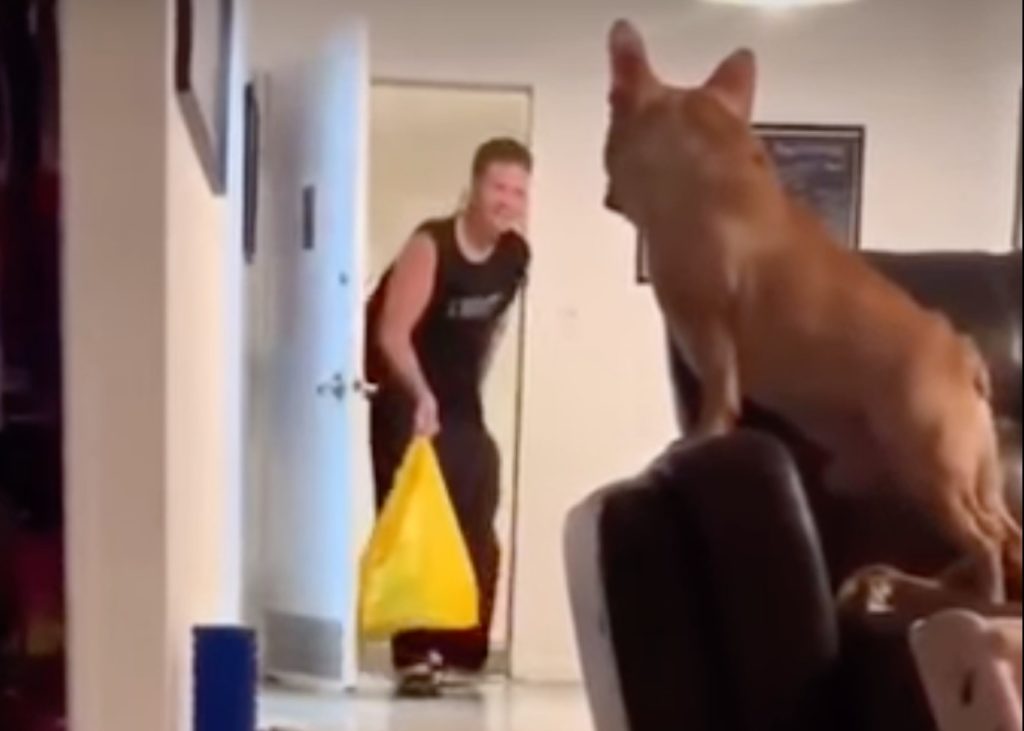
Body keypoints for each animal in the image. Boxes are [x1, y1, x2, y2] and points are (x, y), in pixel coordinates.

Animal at [601, 19, 1022, 603]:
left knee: (984, 539)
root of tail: (965, 358)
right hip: (958, 474)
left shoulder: (707, 324)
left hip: (931, 466)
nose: (608, 192)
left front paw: (698, 437)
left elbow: (718, 392)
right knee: (1002, 534)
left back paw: (977, 597)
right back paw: (923, 586)